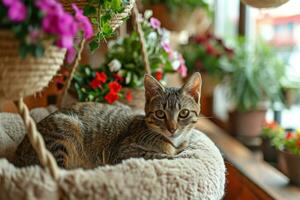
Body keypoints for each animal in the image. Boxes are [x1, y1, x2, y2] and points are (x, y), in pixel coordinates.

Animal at [14, 72, 202, 168]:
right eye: (160, 114)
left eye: (184, 113)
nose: (172, 128)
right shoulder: (125, 152)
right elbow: (158, 156)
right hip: (65, 130)